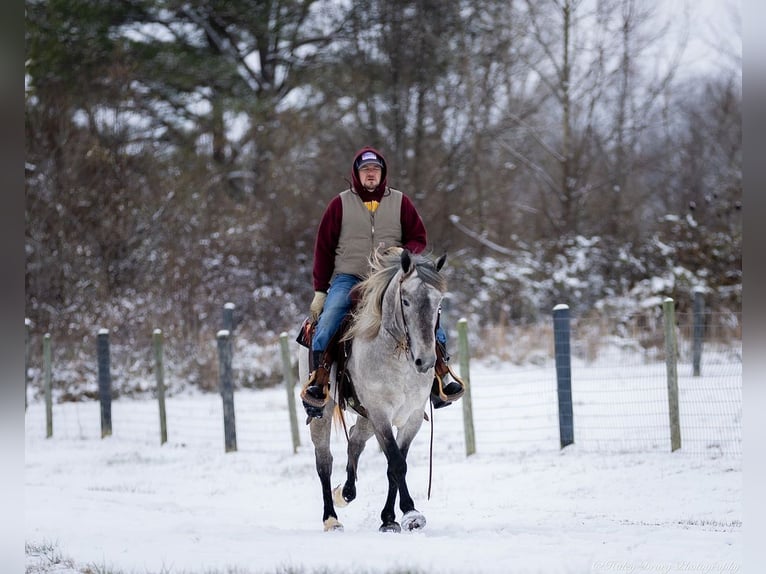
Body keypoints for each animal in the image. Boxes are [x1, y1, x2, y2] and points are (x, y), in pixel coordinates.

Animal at [306, 251, 450, 536]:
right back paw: (331, 518)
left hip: (365, 417)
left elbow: (395, 463)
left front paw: (390, 519)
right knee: (324, 461)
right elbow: (396, 463)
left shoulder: (411, 417)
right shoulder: (381, 414)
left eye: (438, 303)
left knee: (355, 440)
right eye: (405, 300)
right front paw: (411, 514)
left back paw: (347, 492)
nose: (425, 361)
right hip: (324, 414)